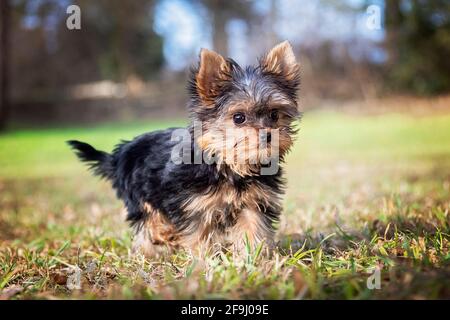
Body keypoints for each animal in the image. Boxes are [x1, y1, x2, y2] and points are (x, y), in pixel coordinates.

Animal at [68, 40, 300, 255]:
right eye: (238, 118)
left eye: (274, 115)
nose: (268, 135)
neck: (227, 164)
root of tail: (119, 155)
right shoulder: (192, 204)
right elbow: (198, 234)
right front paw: (204, 260)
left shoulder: (255, 201)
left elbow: (253, 227)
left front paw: (252, 258)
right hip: (136, 192)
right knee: (148, 218)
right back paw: (161, 237)